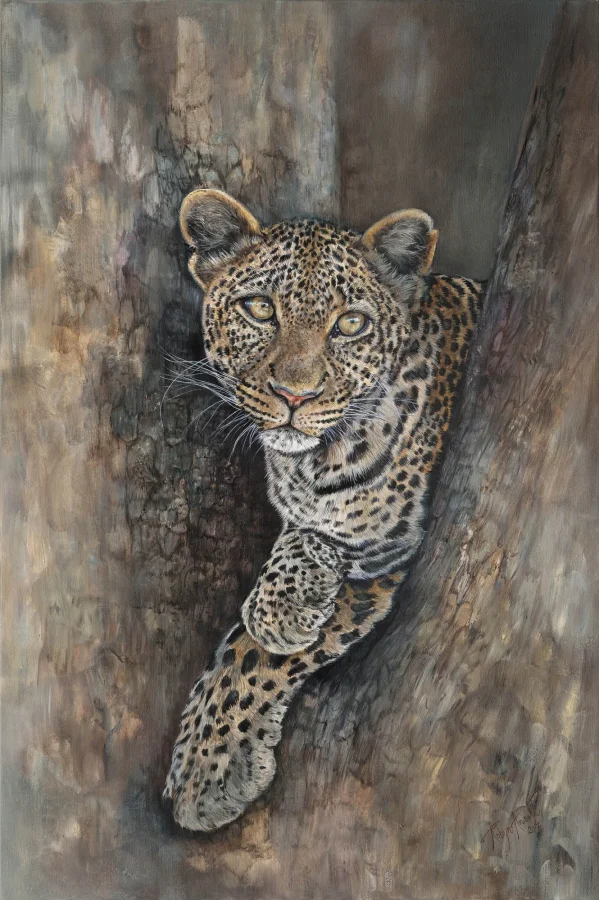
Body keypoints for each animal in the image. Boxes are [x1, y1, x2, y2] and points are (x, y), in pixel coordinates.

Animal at [163, 188, 485, 832]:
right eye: (260, 309)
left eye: (351, 324)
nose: (295, 395)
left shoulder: (388, 545)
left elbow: (250, 653)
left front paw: (205, 769)